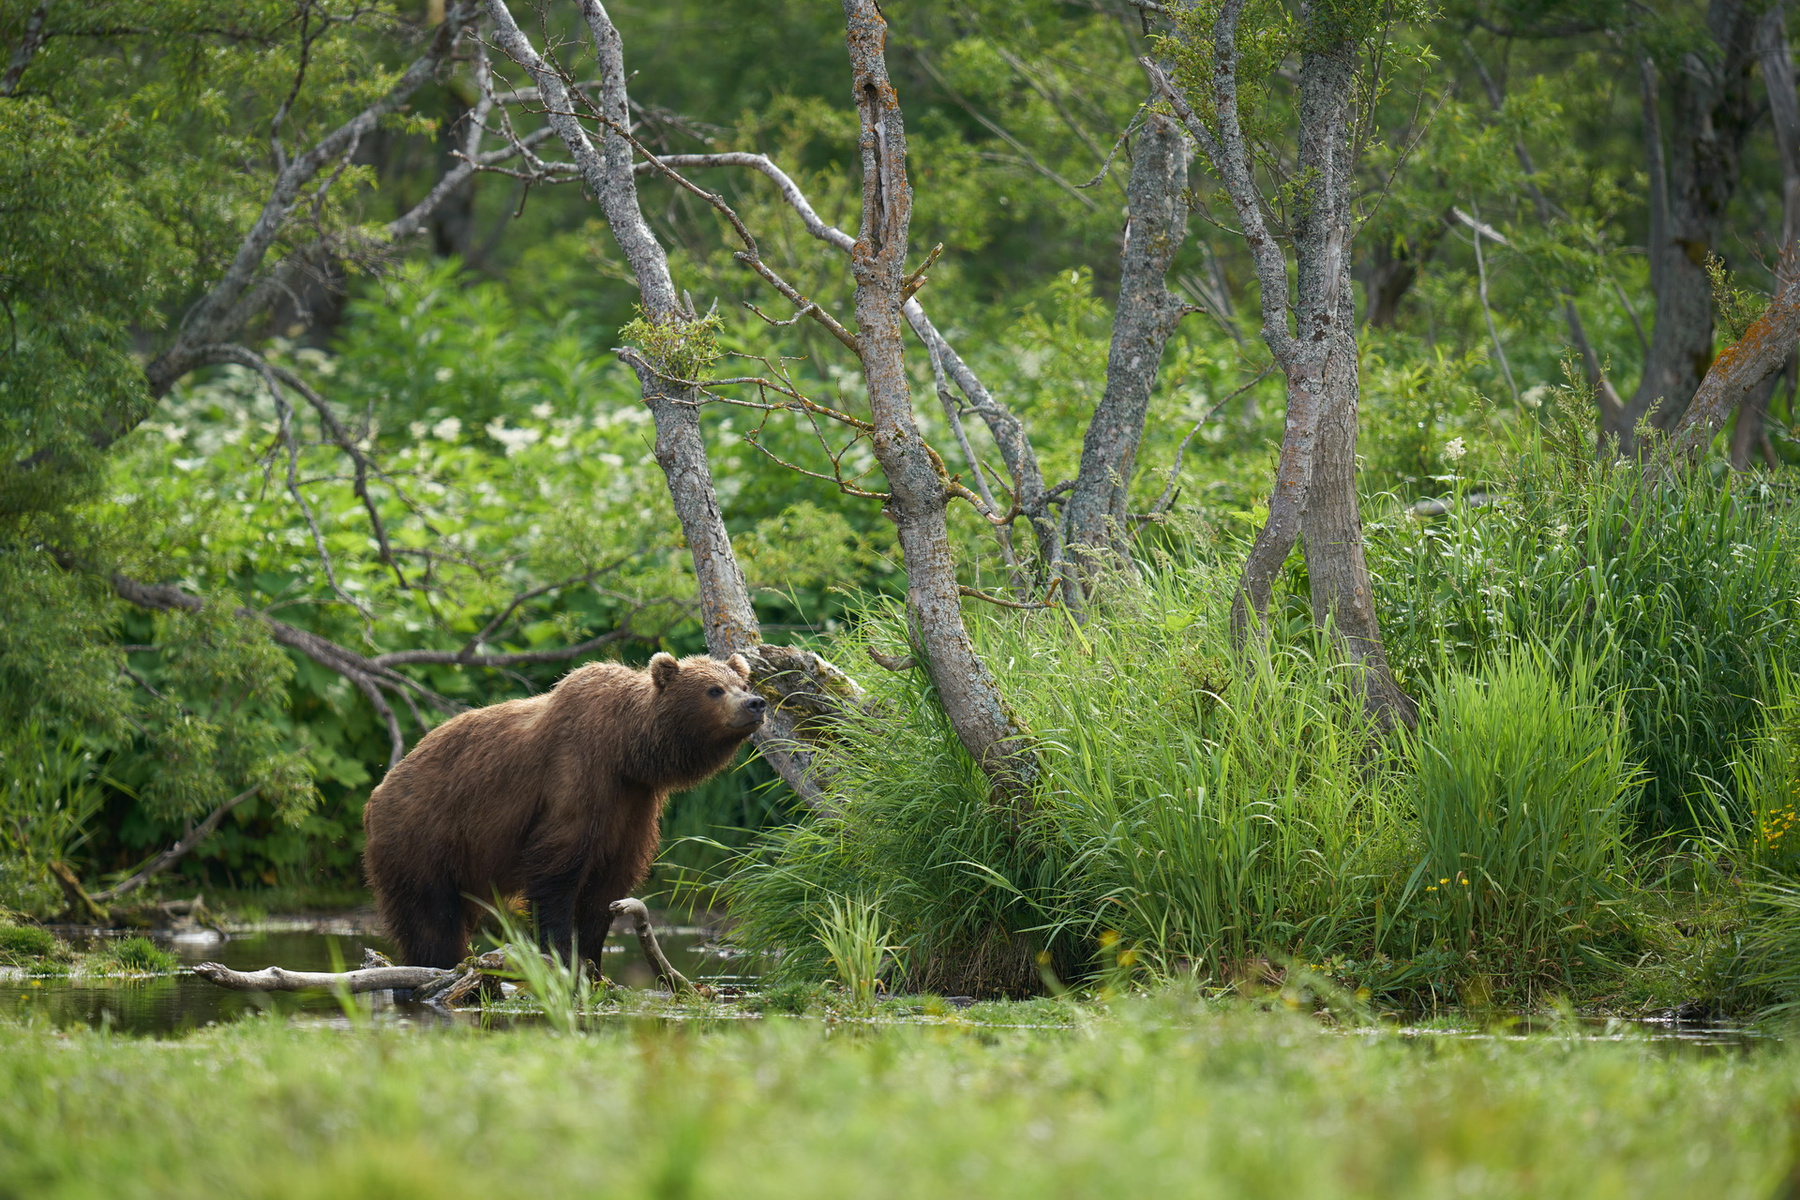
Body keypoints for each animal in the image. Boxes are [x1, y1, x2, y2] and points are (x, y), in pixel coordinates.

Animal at [361, 651, 766, 968]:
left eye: (742, 684)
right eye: (713, 689)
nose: (755, 703)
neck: (627, 751)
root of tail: (377, 793)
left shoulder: (633, 805)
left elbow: (608, 888)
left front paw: (592, 959)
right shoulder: (576, 777)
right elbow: (558, 871)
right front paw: (561, 954)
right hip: (422, 839)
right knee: (430, 918)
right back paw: (435, 966)